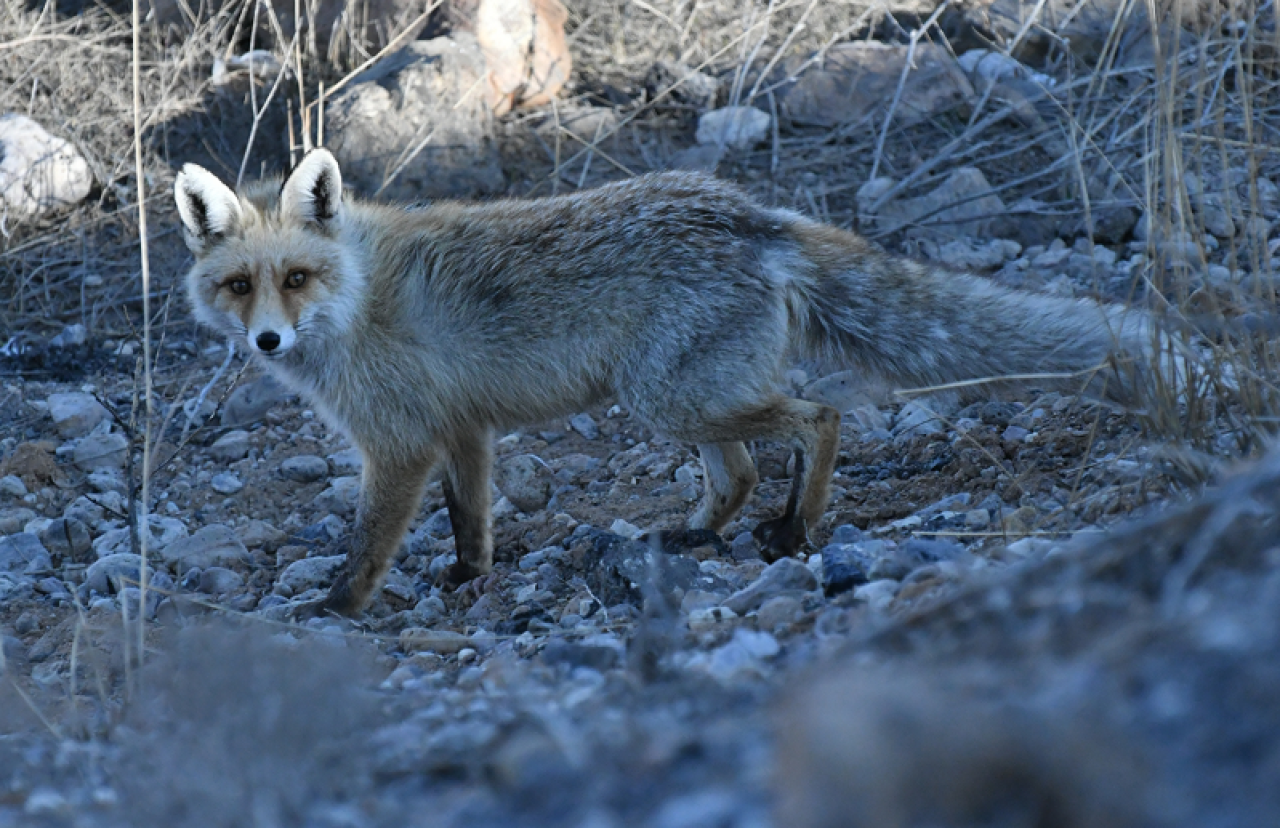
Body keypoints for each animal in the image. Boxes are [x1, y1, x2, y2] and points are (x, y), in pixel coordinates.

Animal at [177, 147, 1152, 614]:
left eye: (296, 277)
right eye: (239, 285)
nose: (267, 340)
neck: (357, 297)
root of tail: (752, 214)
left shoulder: (400, 444)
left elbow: (370, 545)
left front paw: (338, 609)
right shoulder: (465, 430)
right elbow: (471, 521)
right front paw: (466, 580)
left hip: (671, 399)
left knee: (818, 417)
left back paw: (793, 532)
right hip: (682, 403)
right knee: (744, 469)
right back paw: (695, 537)